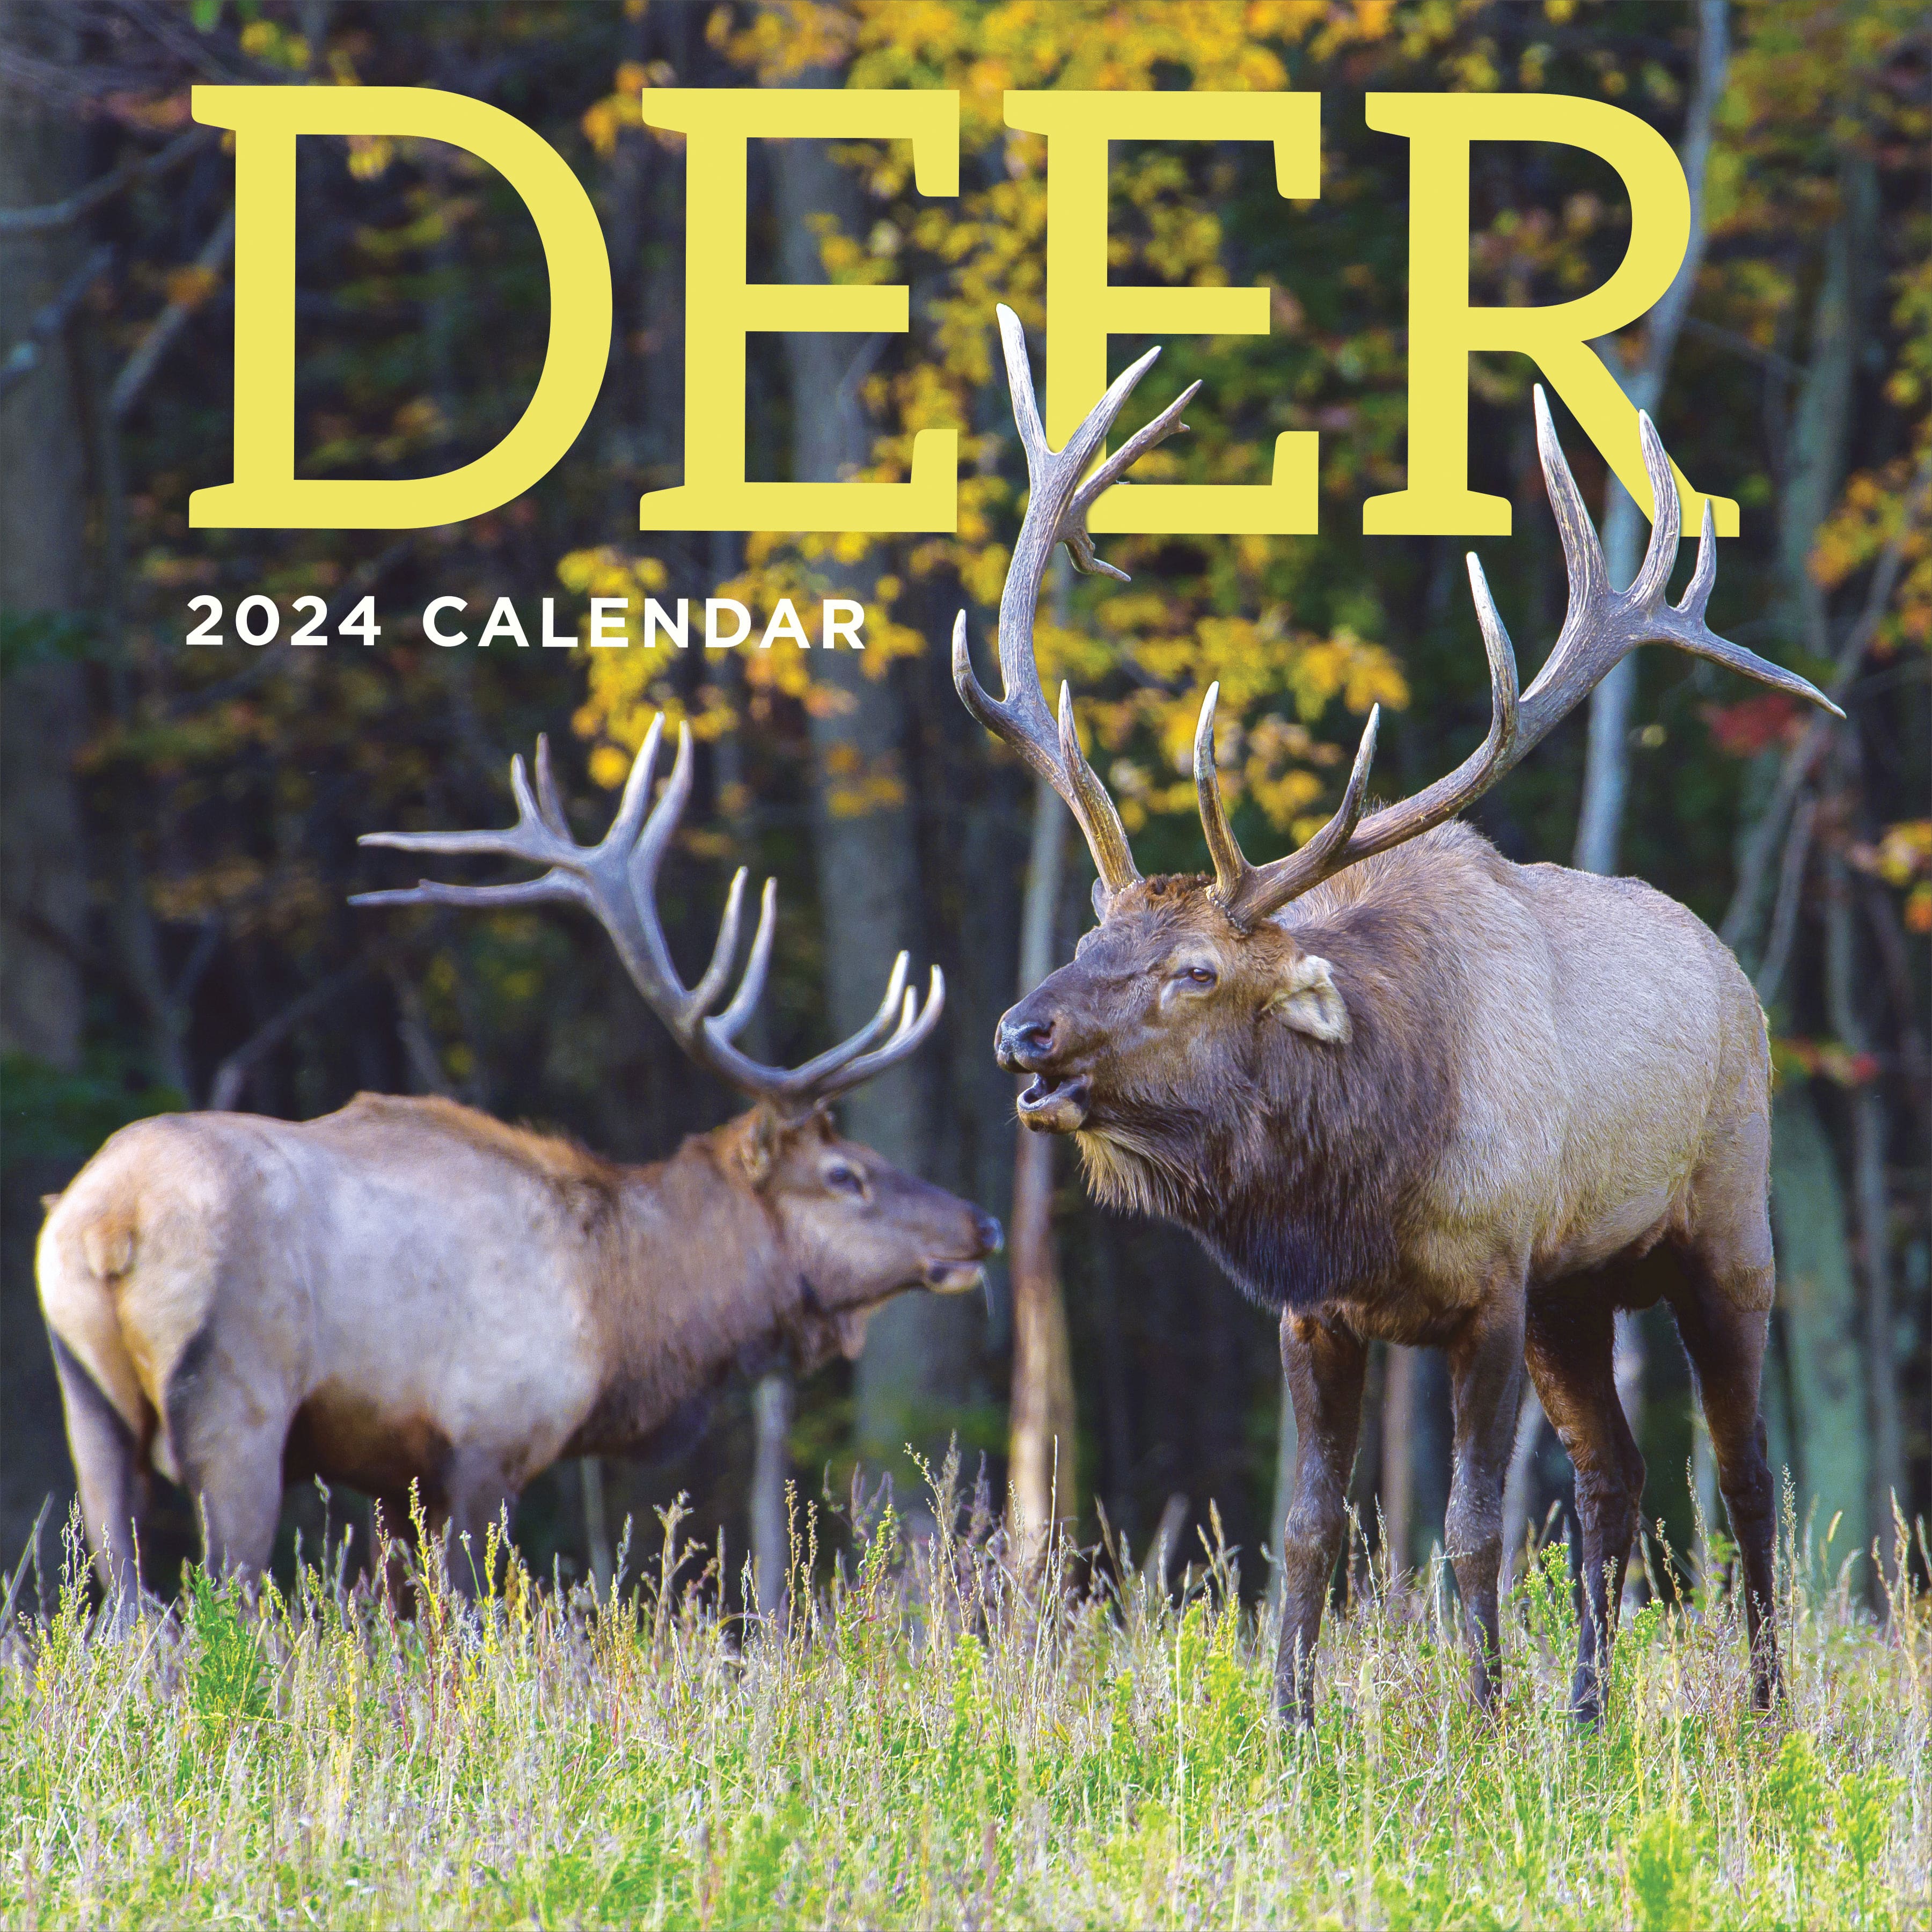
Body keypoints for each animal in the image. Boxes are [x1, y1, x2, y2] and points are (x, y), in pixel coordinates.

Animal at [38, 714, 1000, 1599]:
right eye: (846, 1176)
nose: (981, 1225)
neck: (621, 1318)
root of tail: (110, 1222)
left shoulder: (395, 1472)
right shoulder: (489, 1437)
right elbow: (467, 1612)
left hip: (87, 1399)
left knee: (126, 1601)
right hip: (239, 1400)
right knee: (222, 1596)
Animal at [954, 305, 1840, 1724]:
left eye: (1195, 972)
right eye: (1092, 939)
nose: (1020, 1034)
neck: (1367, 1176)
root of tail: (1733, 969)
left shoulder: (1491, 1284)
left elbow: (1473, 1532)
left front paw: (1477, 1724)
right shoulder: (1322, 1312)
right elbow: (1309, 1528)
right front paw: (1290, 1722)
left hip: (1723, 1226)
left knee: (1747, 1470)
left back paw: (1760, 1708)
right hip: (1577, 1290)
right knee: (1616, 1472)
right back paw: (1587, 1712)